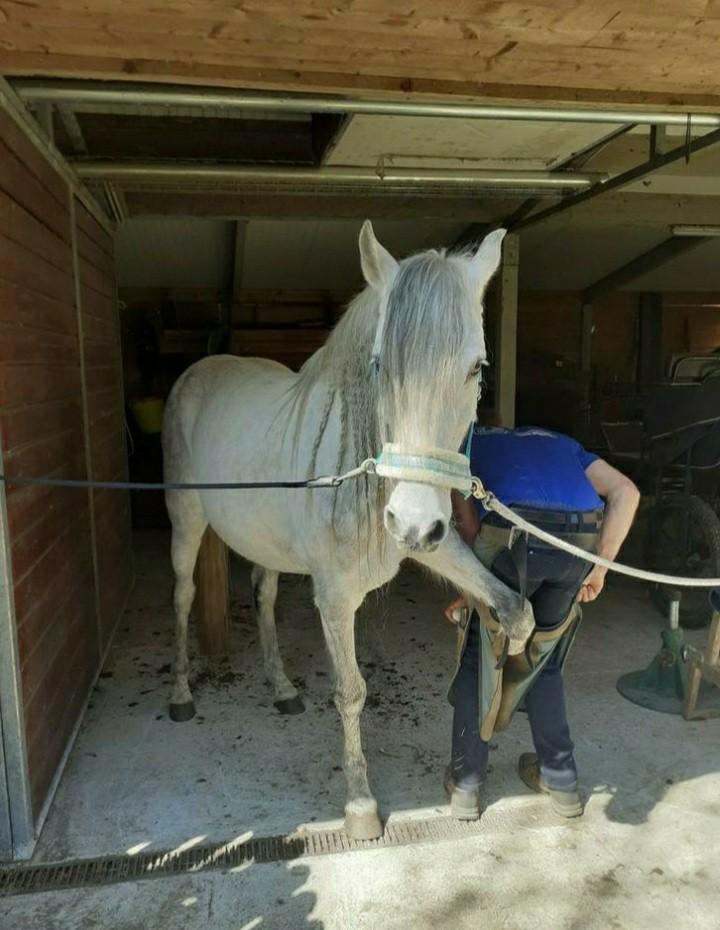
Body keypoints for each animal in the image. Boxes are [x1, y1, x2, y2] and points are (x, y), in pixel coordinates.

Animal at [161, 222, 534, 839]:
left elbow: (516, 610)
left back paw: (283, 689)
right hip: (186, 523)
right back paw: (182, 695)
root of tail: (195, 372)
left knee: (263, 597)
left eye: (477, 369)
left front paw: (507, 691)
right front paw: (360, 806)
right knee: (184, 597)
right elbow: (351, 691)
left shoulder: (433, 544)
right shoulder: (336, 598)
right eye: (380, 365)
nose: (412, 523)